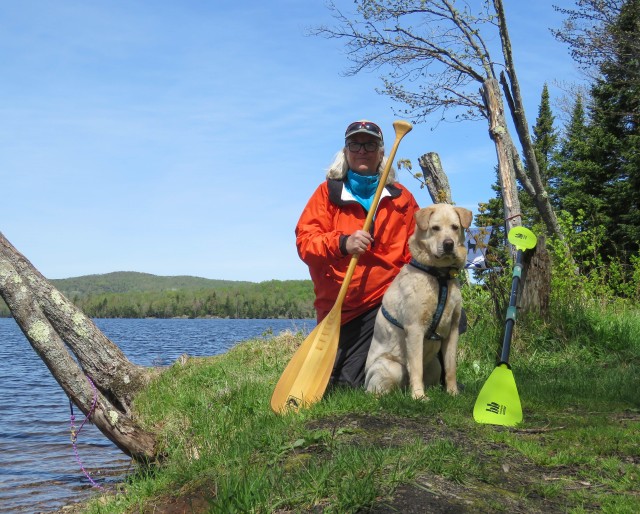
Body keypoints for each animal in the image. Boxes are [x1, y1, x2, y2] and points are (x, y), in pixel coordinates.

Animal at [362, 202, 472, 398]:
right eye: (435, 228)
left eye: (455, 227)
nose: (448, 244)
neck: (439, 276)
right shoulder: (415, 329)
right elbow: (416, 368)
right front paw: (419, 397)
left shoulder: (452, 330)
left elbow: (451, 367)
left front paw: (453, 392)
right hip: (391, 368)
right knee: (376, 392)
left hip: (435, 366)